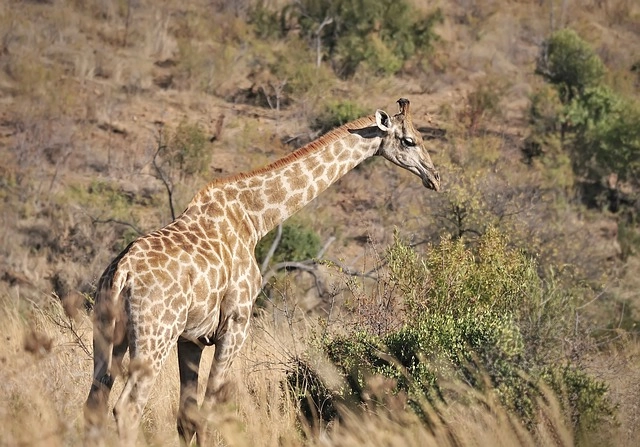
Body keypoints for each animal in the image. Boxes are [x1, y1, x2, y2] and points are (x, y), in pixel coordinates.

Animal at [84, 98, 440, 445]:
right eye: (409, 140)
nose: (435, 177)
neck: (254, 219)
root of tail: (122, 274)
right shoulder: (235, 324)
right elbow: (209, 414)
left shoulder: (192, 338)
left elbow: (188, 417)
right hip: (155, 335)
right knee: (127, 407)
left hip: (107, 334)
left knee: (95, 404)